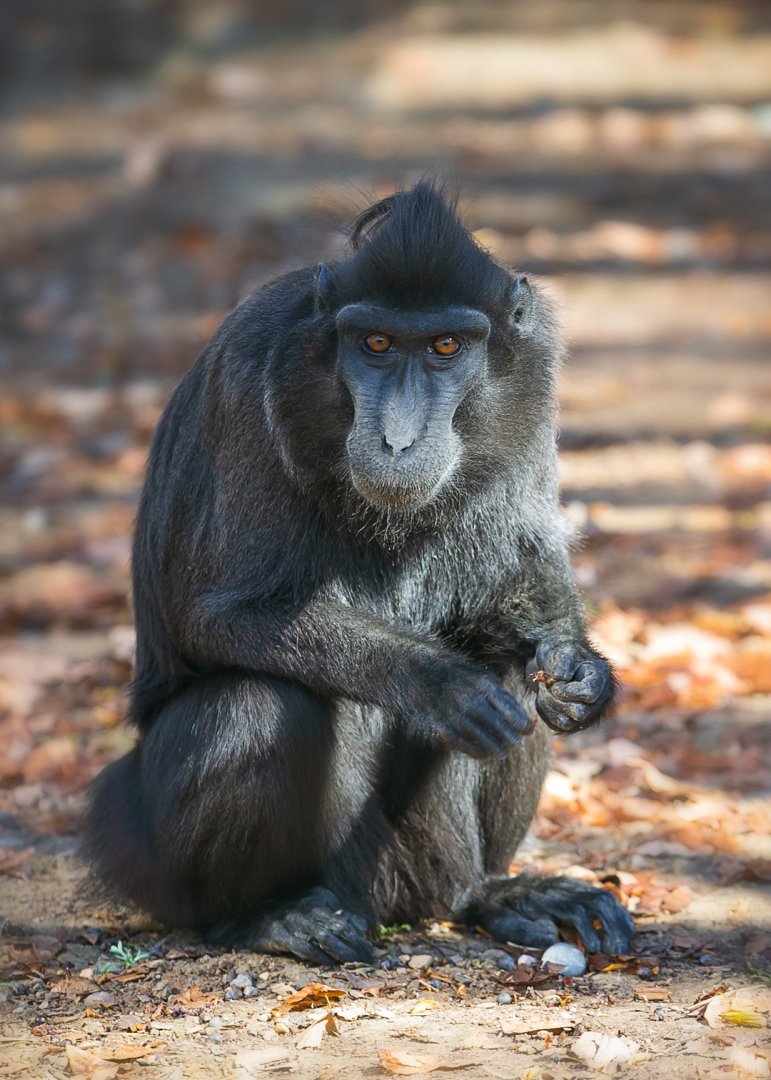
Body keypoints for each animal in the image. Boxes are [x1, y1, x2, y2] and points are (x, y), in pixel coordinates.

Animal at [84, 179, 634, 964]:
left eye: (444, 347)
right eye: (374, 344)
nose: (397, 440)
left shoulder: (533, 382)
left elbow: (527, 583)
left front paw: (583, 675)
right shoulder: (248, 376)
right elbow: (216, 615)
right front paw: (437, 682)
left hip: (415, 858)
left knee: (513, 681)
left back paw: (489, 893)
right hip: (194, 860)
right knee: (257, 705)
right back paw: (265, 916)